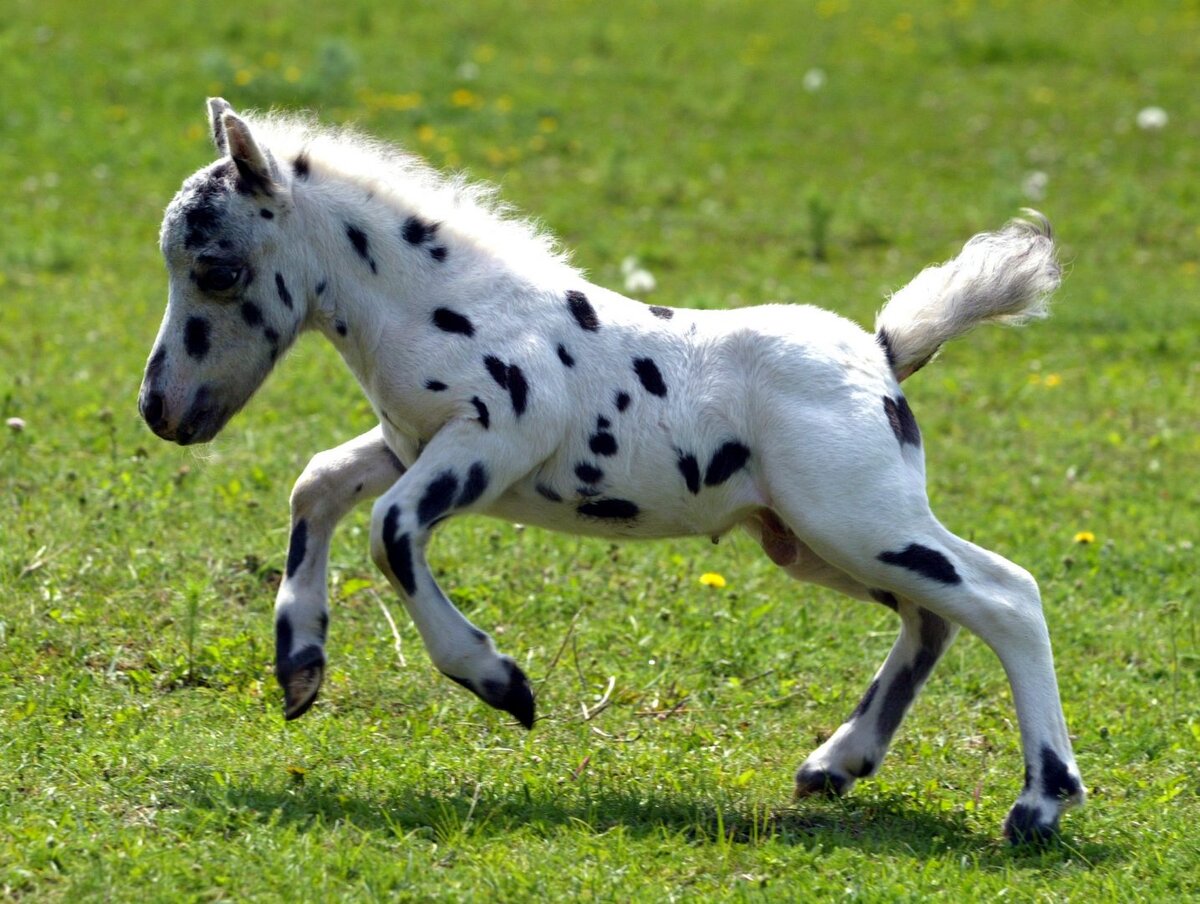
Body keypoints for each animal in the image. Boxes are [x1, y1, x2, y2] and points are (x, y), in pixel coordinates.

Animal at [138, 102, 1089, 845]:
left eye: (216, 269)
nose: (161, 409)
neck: (446, 306)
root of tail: (884, 356)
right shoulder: (406, 444)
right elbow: (319, 484)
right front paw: (299, 663)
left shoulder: (489, 442)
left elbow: (391, 530)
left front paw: (501, 683)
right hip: (810, 541)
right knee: (933, 620)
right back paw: (835, 763)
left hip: (858, 520)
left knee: (1006, 595)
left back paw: (1040, 804)